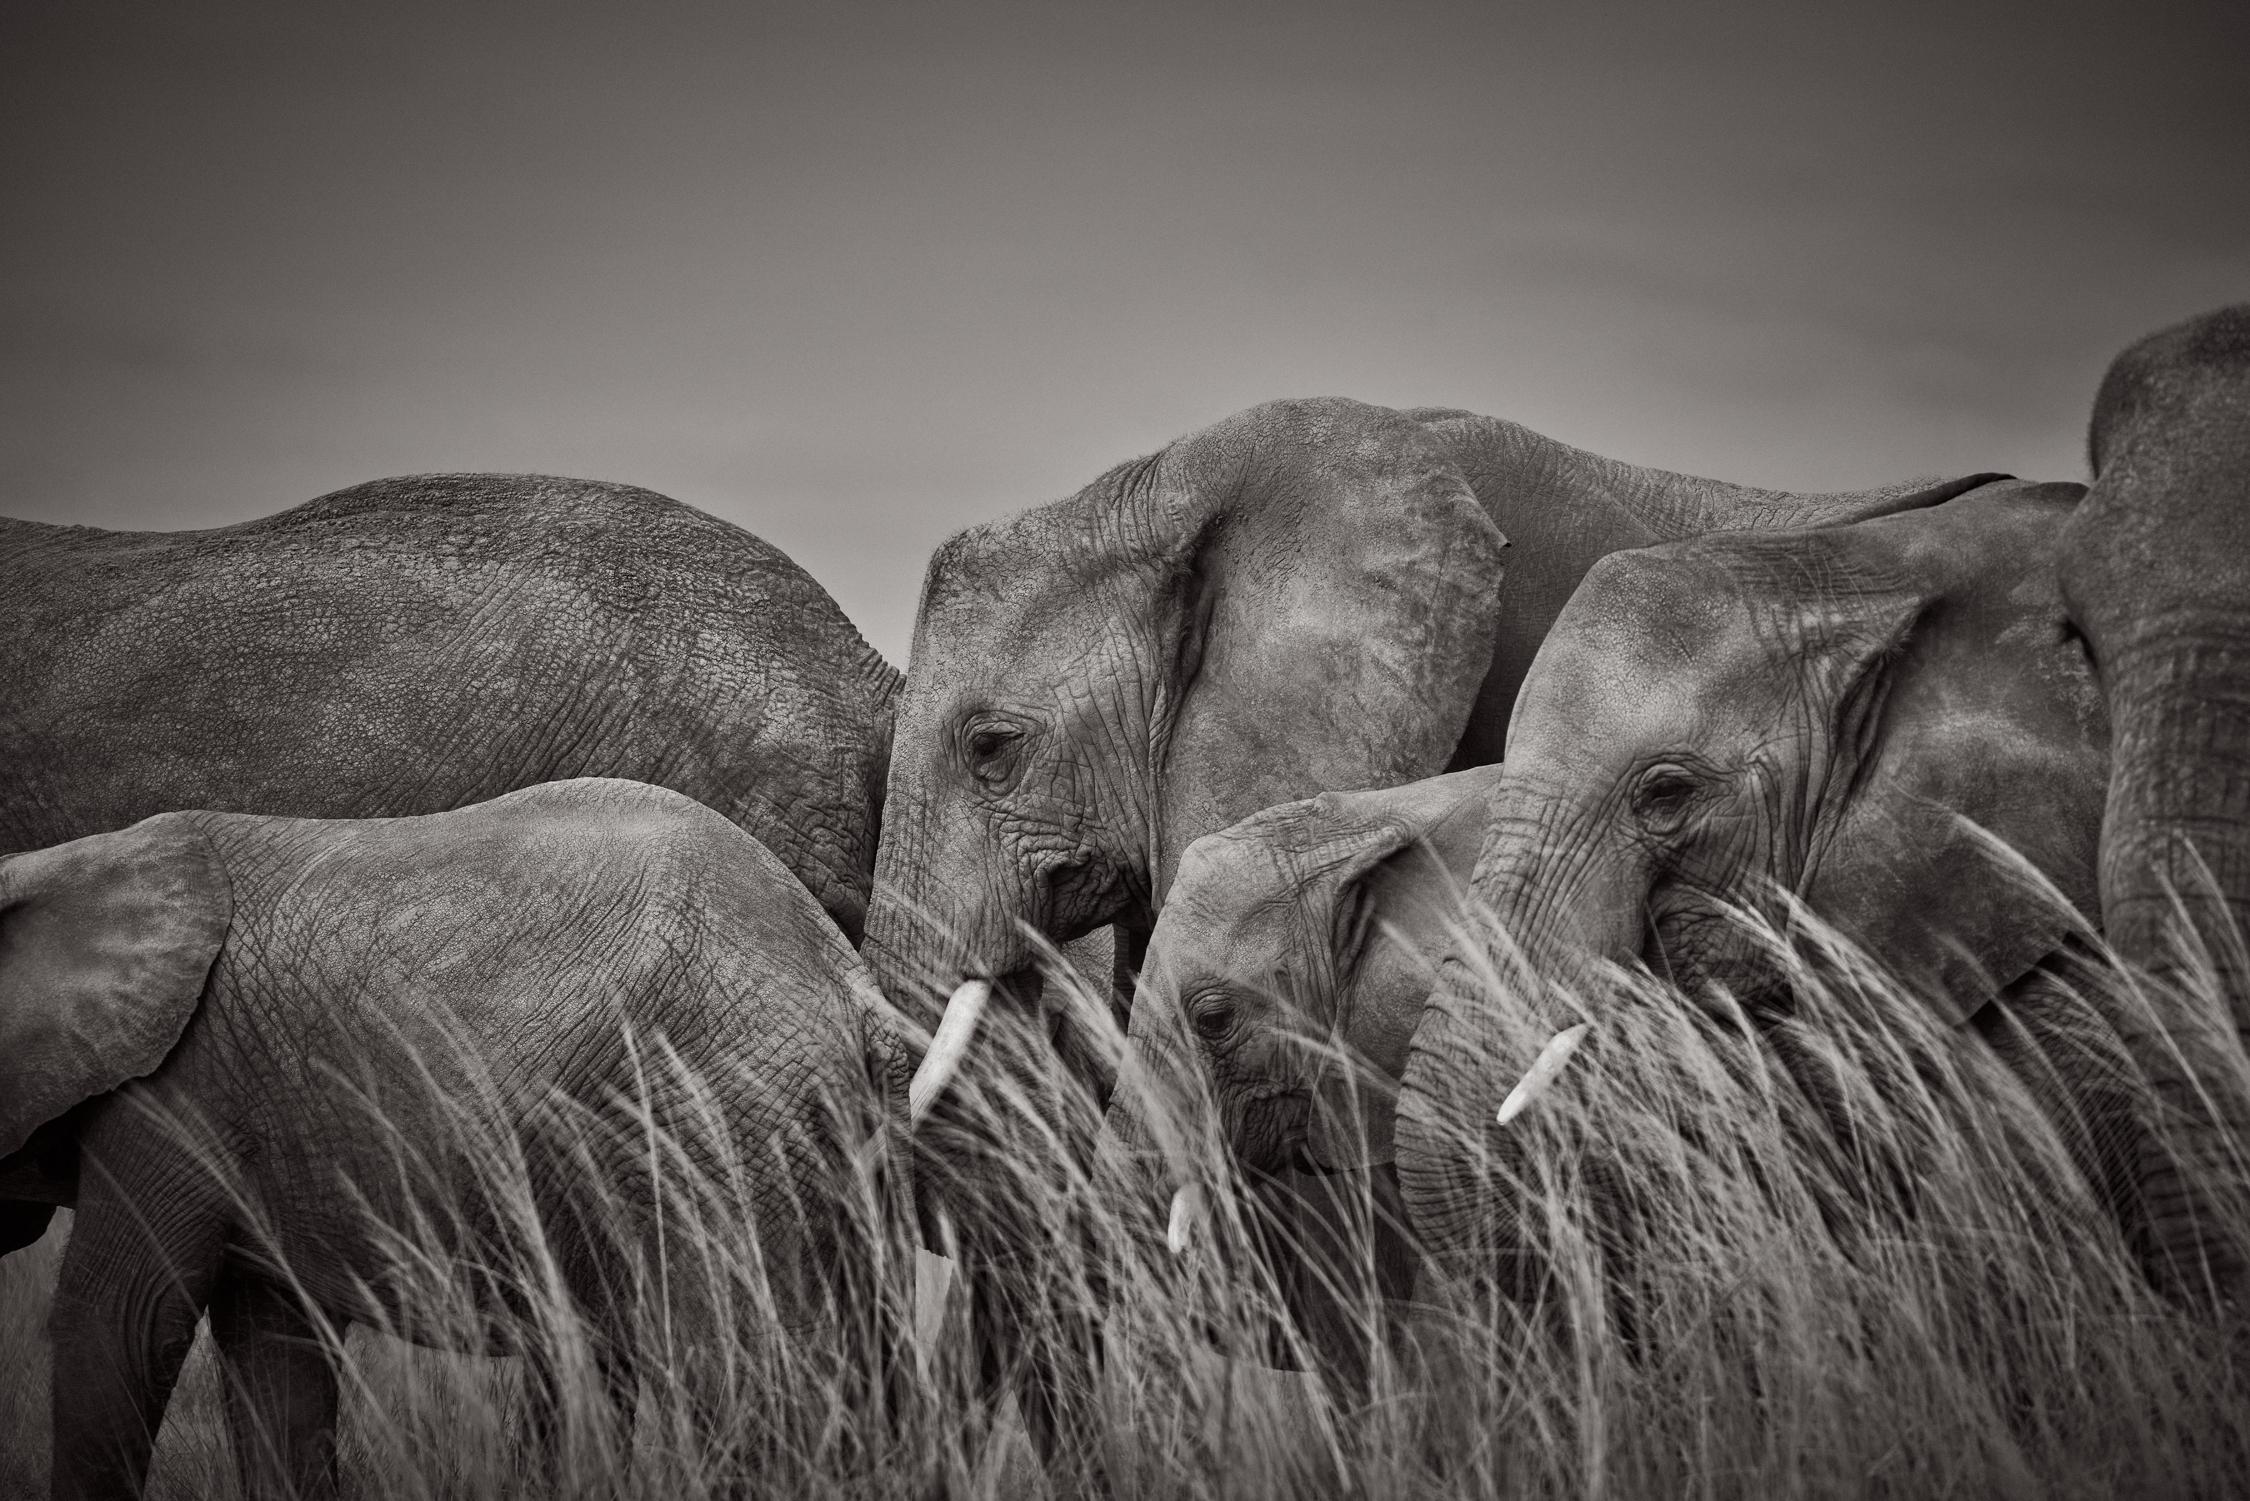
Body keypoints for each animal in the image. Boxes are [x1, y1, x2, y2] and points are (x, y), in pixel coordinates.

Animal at [0, 778, 909, 1501]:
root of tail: (848, 980)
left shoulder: (166, 1097)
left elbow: (116, 1322)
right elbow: (278, 1356)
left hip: (721, 1118)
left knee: (746, 1380)